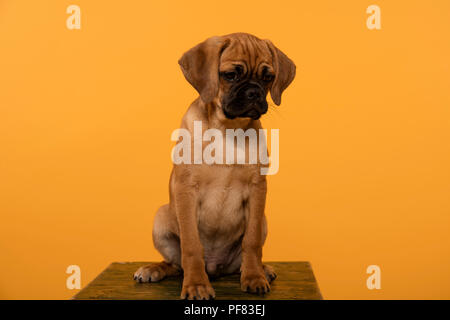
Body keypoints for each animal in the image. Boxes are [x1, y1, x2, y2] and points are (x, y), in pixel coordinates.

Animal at [134, 33, 296, 300]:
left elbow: (251, 242)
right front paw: (196, 285)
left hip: (262, 220)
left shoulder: (257, 189)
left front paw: (254, 277)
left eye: (267, 77)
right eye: (230, 75)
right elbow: (191, 246)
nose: (254, 93)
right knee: (174, 264)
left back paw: (262, 269)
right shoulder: (186, 190)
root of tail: (215, 267)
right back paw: (152, 270)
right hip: (161, 218)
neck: (227, 129)